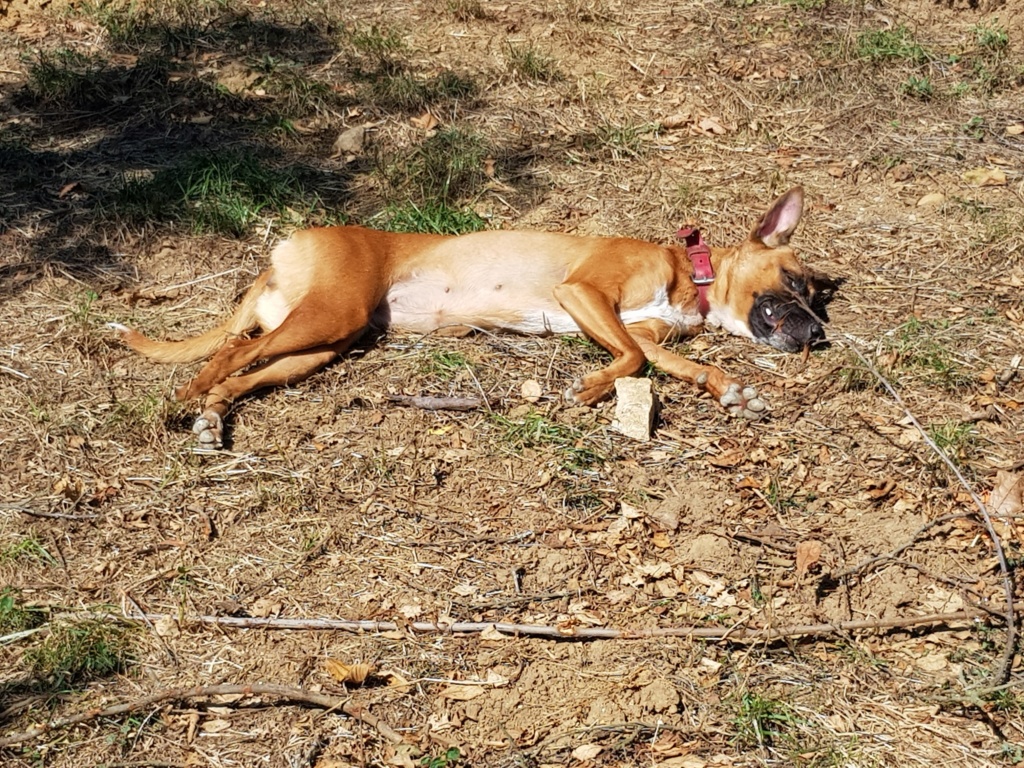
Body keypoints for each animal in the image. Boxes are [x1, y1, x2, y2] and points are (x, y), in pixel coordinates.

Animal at [108, 188, 835, 450]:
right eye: (794, 283)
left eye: (812, 293)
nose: (819, 335)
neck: (692, 275)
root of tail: (285, 251)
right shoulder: (583, 294)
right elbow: (630, 358)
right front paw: (589, 389)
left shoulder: (640, 332)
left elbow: (674, 361)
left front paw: (731, 390)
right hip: (326, 317)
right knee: (229, 355)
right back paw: (188, 397)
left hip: (322, 346)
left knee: (242, 373)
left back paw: (211, 420)